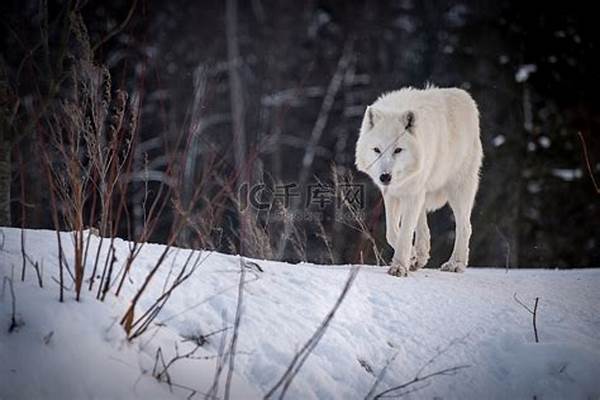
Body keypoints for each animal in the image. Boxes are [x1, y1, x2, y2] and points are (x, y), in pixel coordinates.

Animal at [356, 86, 482, 276]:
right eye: (377, 150)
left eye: (398, 150)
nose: (385, 176)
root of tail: (465, 96)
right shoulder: (393, 194)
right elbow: (392, 233)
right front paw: (411, 256)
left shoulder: (411, 193)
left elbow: (405, 233)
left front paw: (399, 266)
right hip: (422, 191)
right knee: (423, 226)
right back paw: (420, 257)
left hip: (458, 189)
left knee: (465, 227)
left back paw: (456, 264)